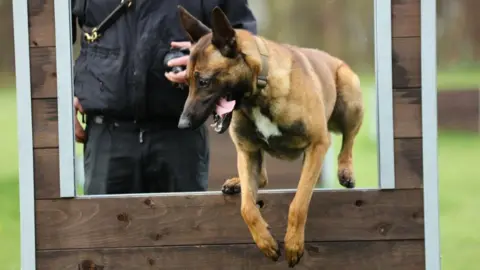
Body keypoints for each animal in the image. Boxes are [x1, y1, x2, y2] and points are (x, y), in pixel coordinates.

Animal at [176, 5, 364, 266]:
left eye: (204, 81)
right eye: (187, 81)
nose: (182, 124)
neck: (259, 90)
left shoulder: (318, 144)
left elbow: (298, 204)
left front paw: (293, 244)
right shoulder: (248, 151)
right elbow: (247, 208)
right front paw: (265, 241)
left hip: (349, 94)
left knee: (348, 139)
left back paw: (345, 170)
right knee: (262, 178)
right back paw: (237, 182)